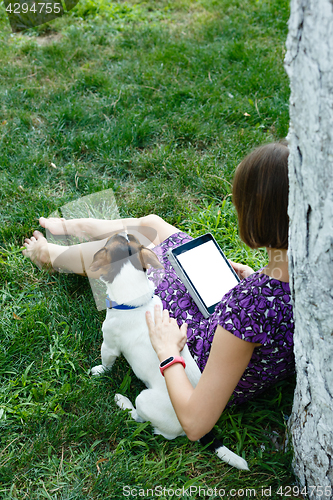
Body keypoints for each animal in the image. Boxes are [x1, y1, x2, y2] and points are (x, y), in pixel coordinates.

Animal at [89, 232, 248, 470]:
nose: (122, 231)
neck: (136, 301)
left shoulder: (109, 344)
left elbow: (106, 363)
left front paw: (99, 371)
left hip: (144, 400)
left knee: (146, 423)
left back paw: (123, 402)